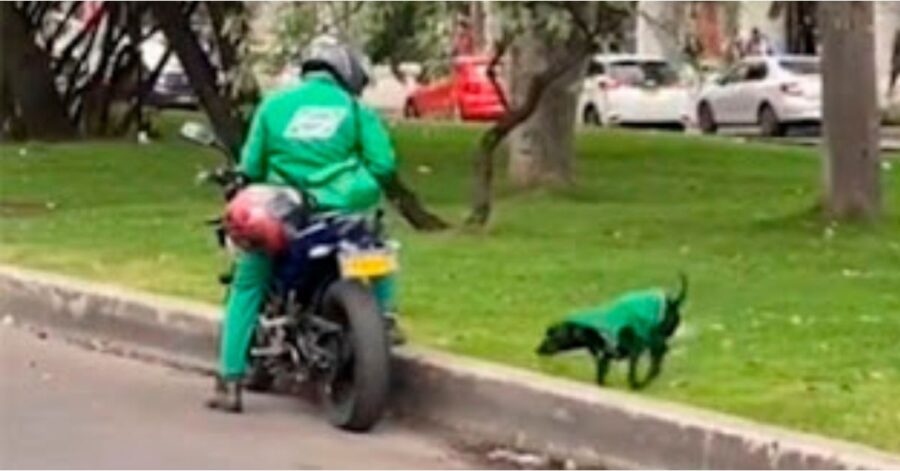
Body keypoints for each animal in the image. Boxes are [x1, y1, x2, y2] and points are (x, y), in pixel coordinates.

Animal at [536, 272, 688, 390]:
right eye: (548, 333)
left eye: (553, 336)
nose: (538, 349)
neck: (591, 330)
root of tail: (673, 302)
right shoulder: (604, 357)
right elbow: (600, 374)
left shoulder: (634, 349)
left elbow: (631, 372)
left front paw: (635, 385)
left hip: (654, 337)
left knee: (657, 358)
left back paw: (645, 381)